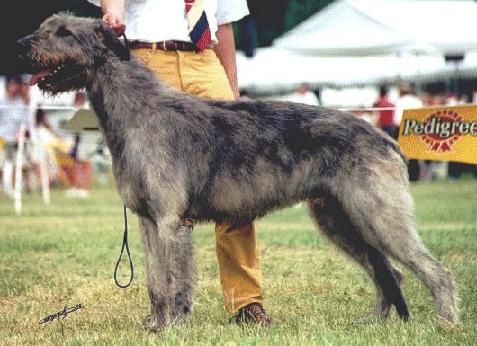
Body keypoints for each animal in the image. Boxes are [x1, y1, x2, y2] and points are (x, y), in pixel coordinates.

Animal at [17, 14, 458, 332]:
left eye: (64, 32)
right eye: (46, 26)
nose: (21, 45)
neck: (136, 110)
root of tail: (383, 137)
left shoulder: (170, 221)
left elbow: (175, 279)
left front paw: (172, 326)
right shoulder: (147, 221)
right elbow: (155, 281)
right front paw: (154, 324)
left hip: (377, 215)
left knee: (435, 270)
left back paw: (446, 323)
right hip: (338, 218)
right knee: (391, 272)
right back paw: (374, 323)